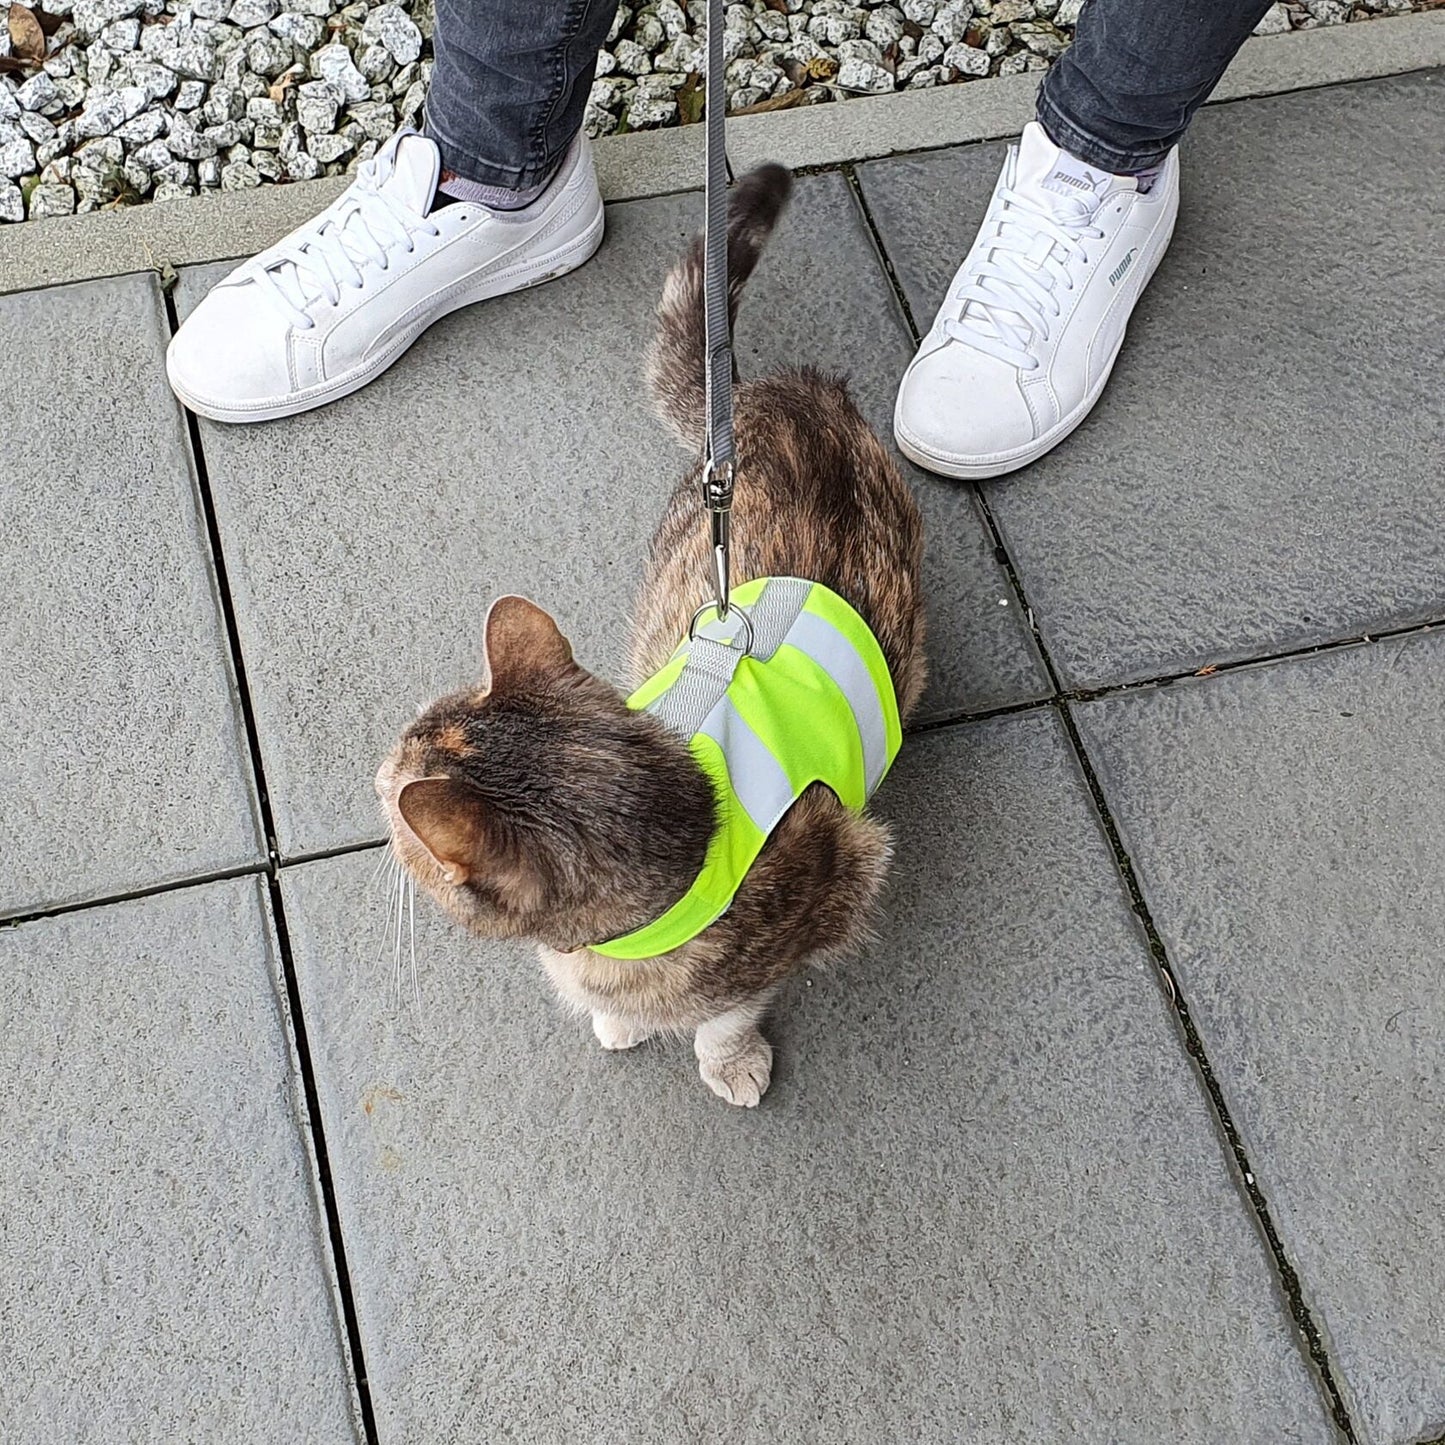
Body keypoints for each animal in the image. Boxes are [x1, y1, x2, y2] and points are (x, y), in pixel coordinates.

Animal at [378, 164, 924, 1103]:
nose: (378, 767)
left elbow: (728, 1009)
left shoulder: (844, 873)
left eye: (392, 790)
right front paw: (619, 1019)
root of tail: (776, 389)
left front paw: (723, 1056)